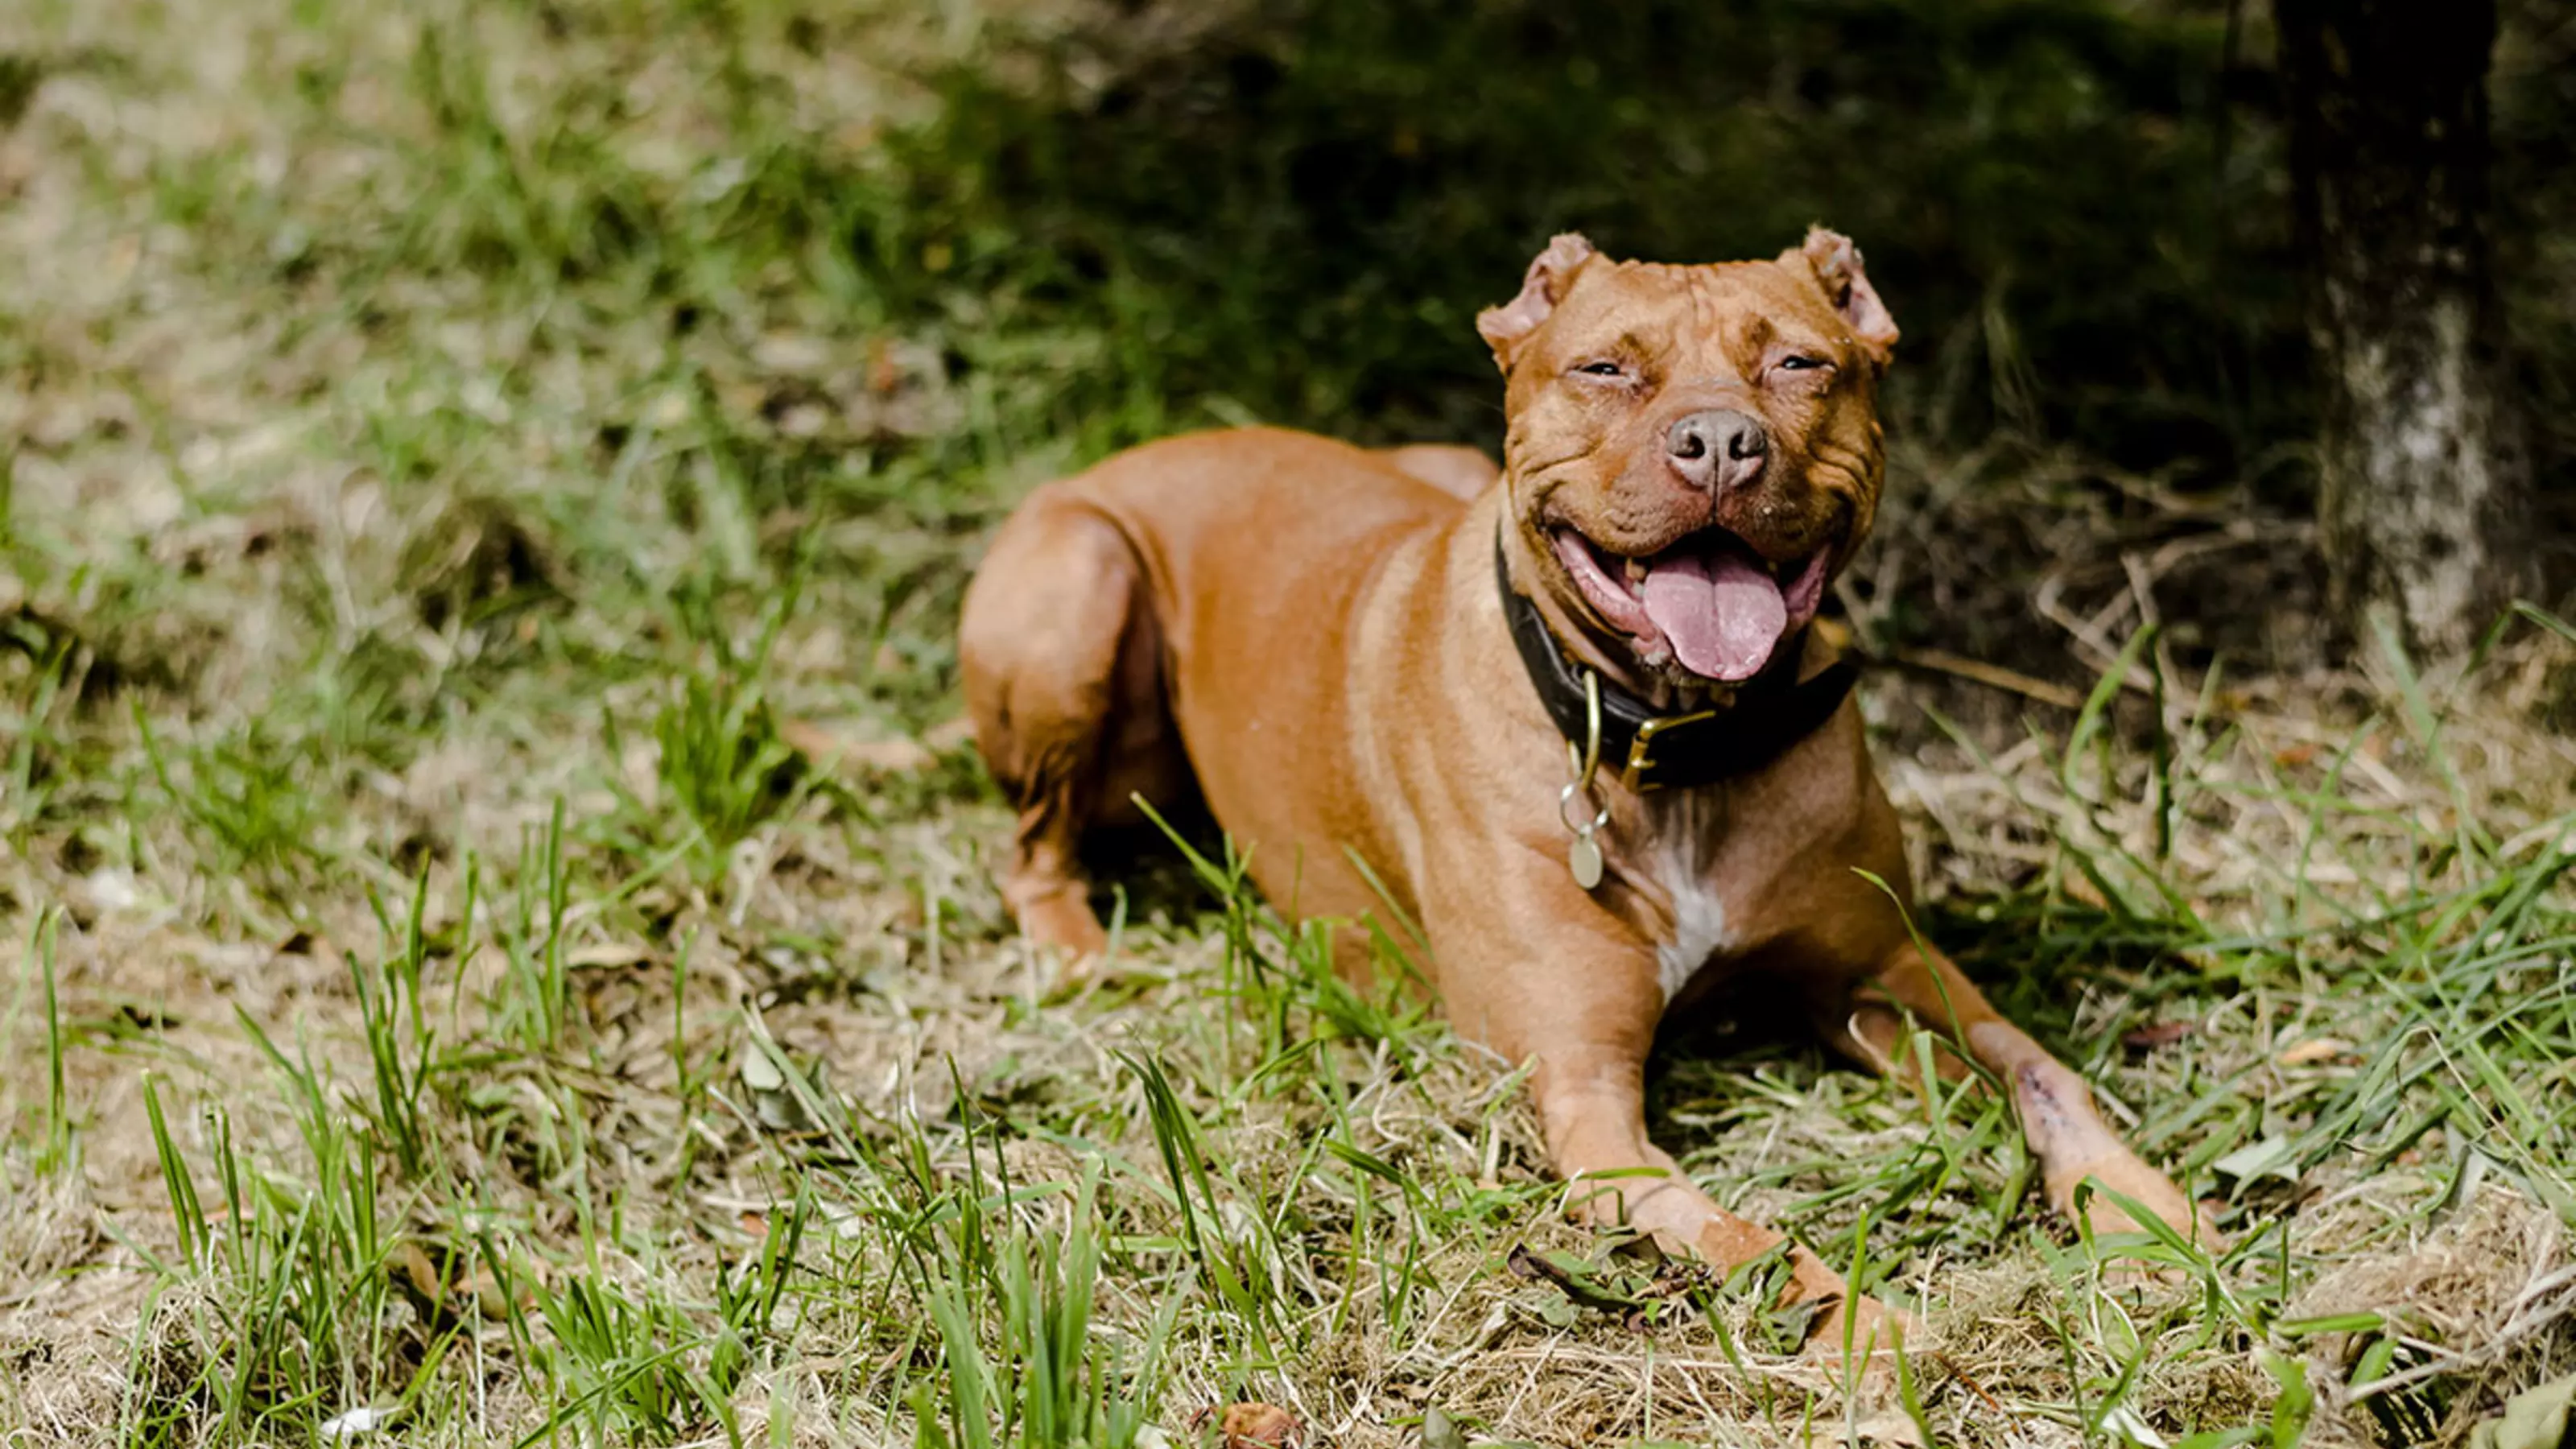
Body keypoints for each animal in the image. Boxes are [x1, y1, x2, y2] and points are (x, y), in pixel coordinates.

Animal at [958, 230, 2205, 1361]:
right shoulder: (1586, 1102)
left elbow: (2043, 1072)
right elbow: (1751, 1244)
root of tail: (1134, 451)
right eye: (1605, 368)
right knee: (1030, 850)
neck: (1676, 745)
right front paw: (1863, 1333)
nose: (1719, 444)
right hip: (1078, 591)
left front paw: (2151, 1218)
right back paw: (1082, 955)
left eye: (1799, 363)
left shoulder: (1879, 968)